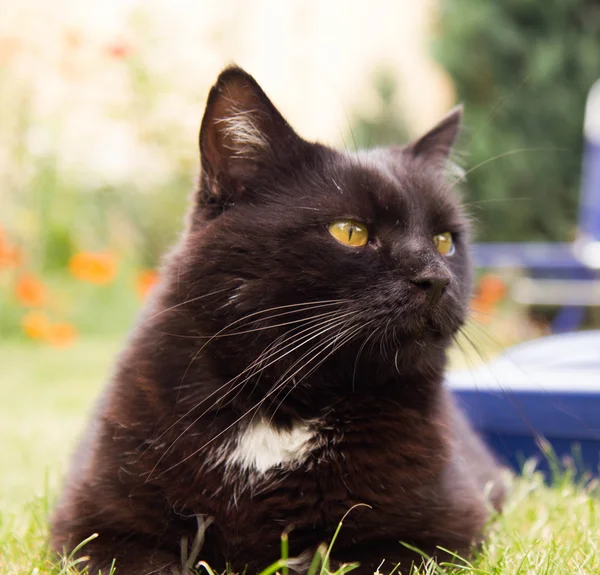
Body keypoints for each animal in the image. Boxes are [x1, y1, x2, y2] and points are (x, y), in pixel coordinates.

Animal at [51, 66, 506, 575]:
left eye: (445, 240)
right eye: (350, 232)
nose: (436, 279)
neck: (281, 403)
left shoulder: (437, 535)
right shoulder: (97, 529)